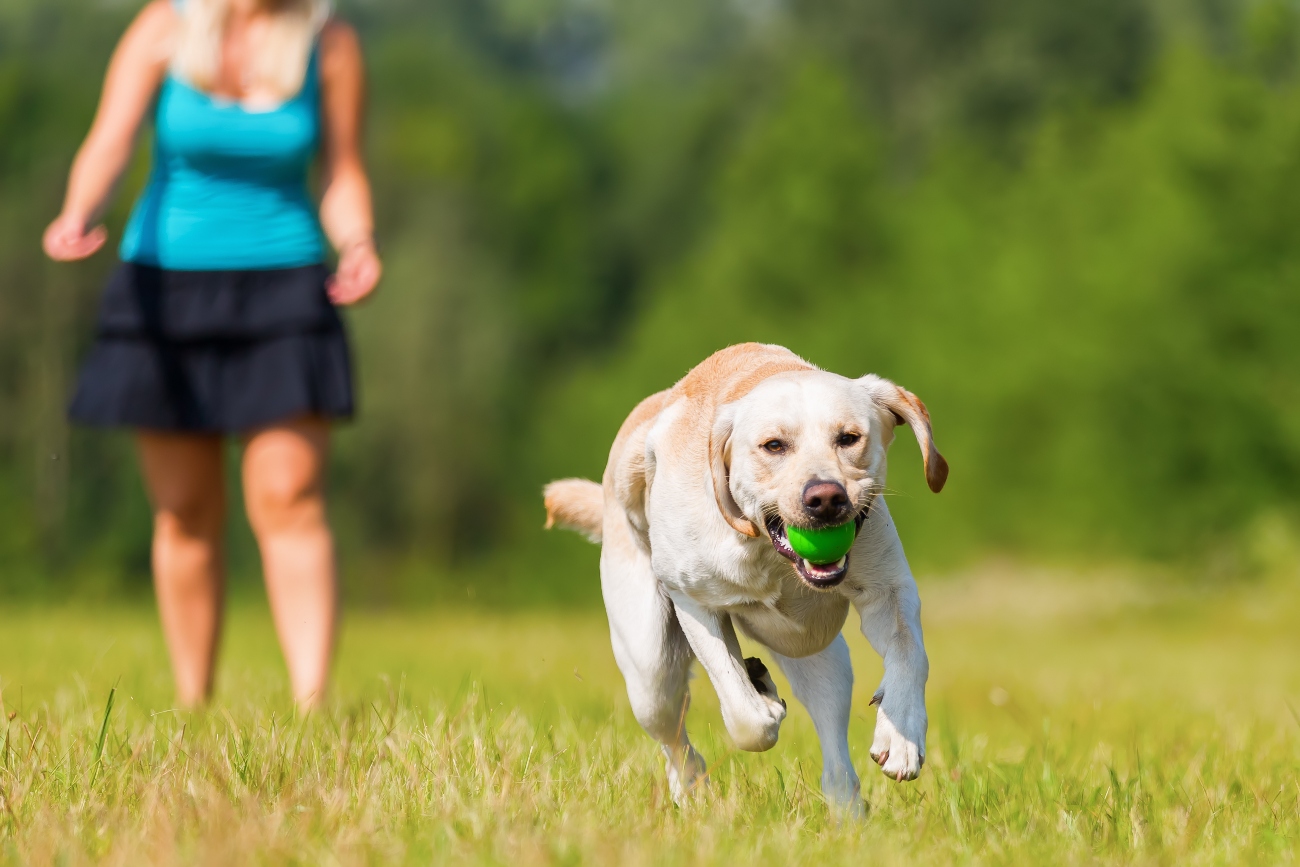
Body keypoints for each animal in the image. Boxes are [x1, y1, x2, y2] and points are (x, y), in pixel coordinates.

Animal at [543, 340, 951, 816]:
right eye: (773, 445)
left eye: (849, 438)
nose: (825, 498)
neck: (768, 556)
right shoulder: (694, 603)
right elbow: (744, 714)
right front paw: (764, 704)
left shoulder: (890, 590)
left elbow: (910, 654)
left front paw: (901, 735)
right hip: (649, 670)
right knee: (674, 735)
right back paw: (694, 787)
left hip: (820, 657)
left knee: (832, 741)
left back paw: (846, 812)